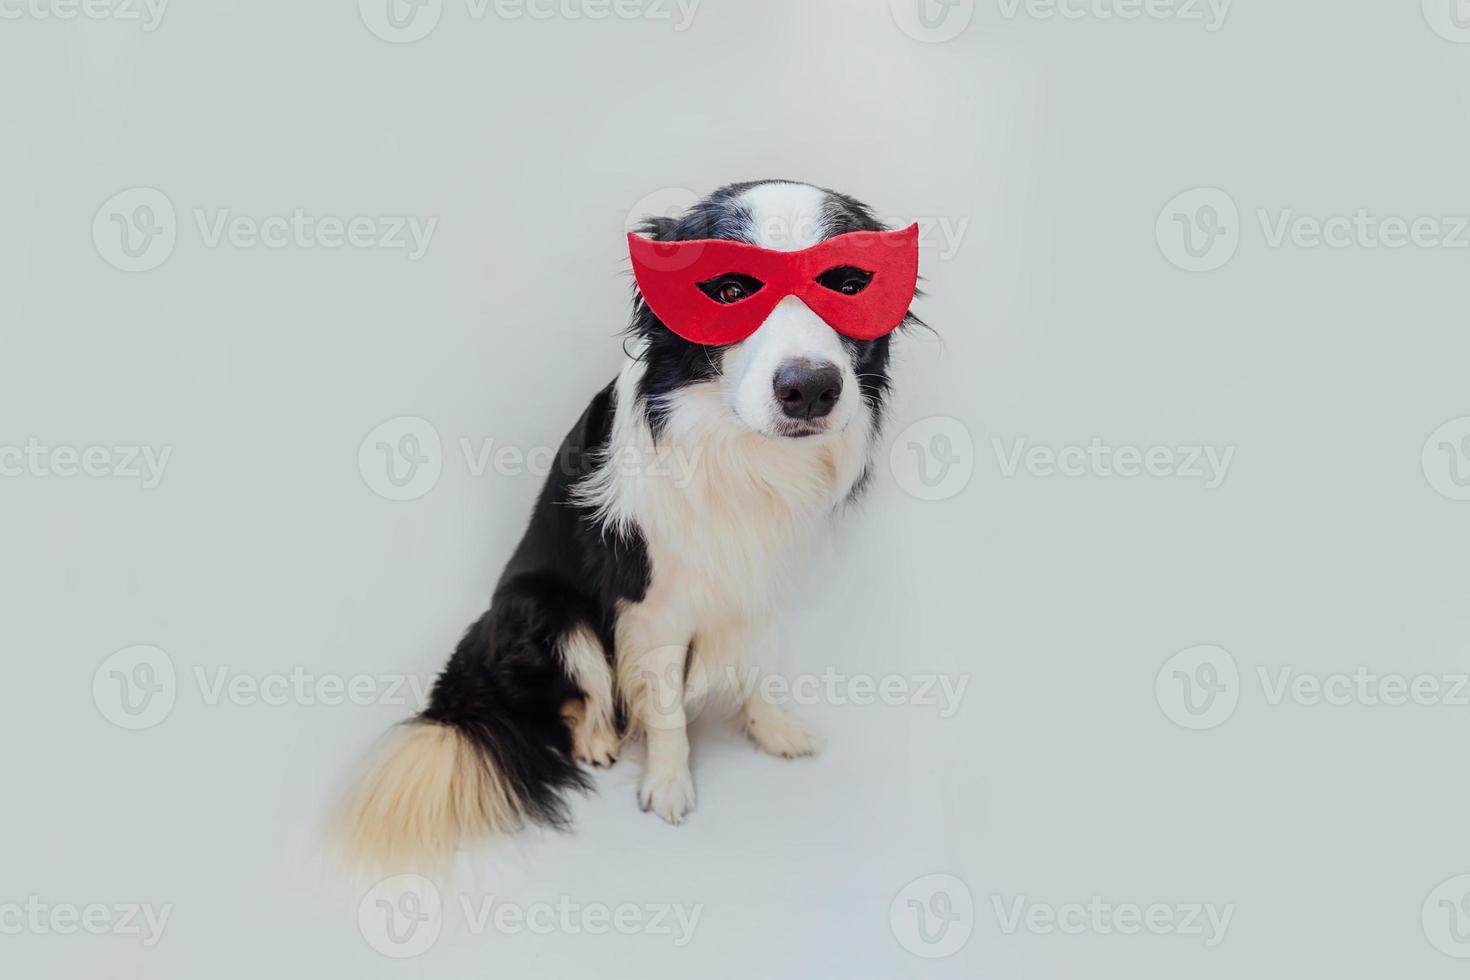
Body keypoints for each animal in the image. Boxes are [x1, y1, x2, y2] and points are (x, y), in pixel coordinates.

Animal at [338, 179, 911, 869]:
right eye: (729, 292)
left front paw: (772, 728)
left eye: (849, 285)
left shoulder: (762, 579)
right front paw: (668, 784)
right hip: (547, 609)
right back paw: (596, 740)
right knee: (581, 692)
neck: (741, 452)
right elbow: (663, 709)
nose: (810, 390)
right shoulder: (652, 604)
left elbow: (761, 665)